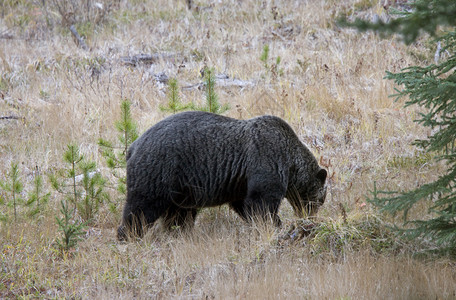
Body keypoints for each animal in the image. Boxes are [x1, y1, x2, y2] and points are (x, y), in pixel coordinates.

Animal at [116, 111, 326, 240]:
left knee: (178, 216)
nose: (310, 217)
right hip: (159, 171)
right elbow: (262, 203)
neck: (291, 164)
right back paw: (128, 236)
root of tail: (133, 146)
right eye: (320, 199)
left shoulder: (240, 181)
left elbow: (244, 204)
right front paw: (274, 225)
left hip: (180, 190)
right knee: (142, 208)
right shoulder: (267, 160)